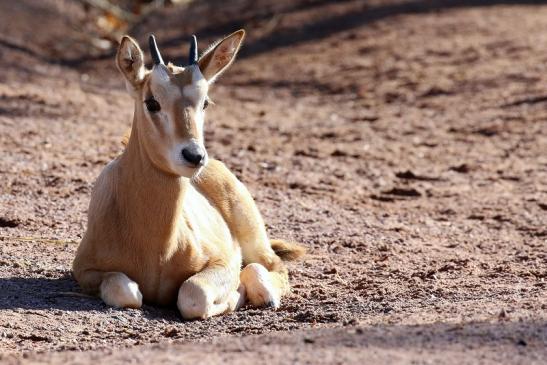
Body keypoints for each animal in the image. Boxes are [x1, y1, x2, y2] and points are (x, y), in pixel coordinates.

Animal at [71, 31, 306, 318]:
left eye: (205, 102)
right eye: (152, 102)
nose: (194, 156)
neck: (157, 247)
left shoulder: (224, 260)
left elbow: (193, 294)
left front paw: (236, 295)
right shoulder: (84, 269)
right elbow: (126, 291)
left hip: (253, 239)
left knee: (270, 265)